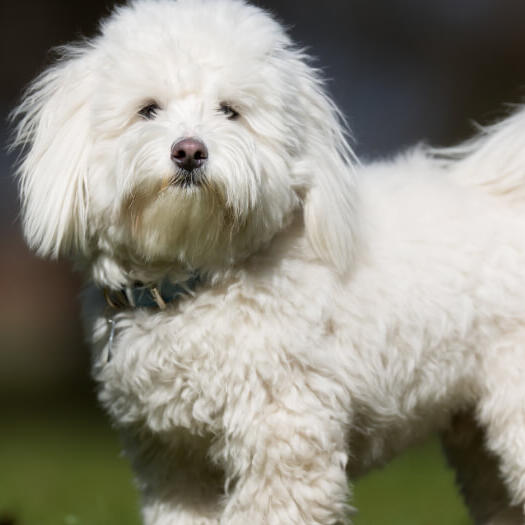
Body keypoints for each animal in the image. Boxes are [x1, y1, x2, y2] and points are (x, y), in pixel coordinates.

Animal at [12, 0, 525, 520]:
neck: (198, 281)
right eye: (148, 109)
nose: (189, 151)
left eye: (230, 111)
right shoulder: (175, 460)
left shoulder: (284, 438)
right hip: (476, 438)